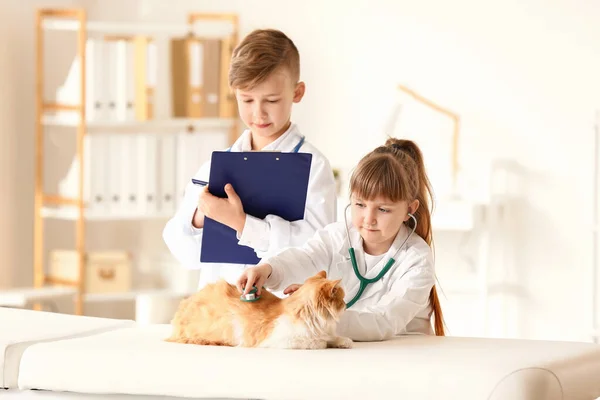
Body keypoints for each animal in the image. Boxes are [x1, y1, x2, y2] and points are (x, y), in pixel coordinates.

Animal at [165, 270, 352, 348]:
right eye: (341, 299)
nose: (346, 304)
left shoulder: (326, 332)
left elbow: (334, 338)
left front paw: (344, 342)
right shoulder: (280, 340)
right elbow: (317, 342)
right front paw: (324, 343)